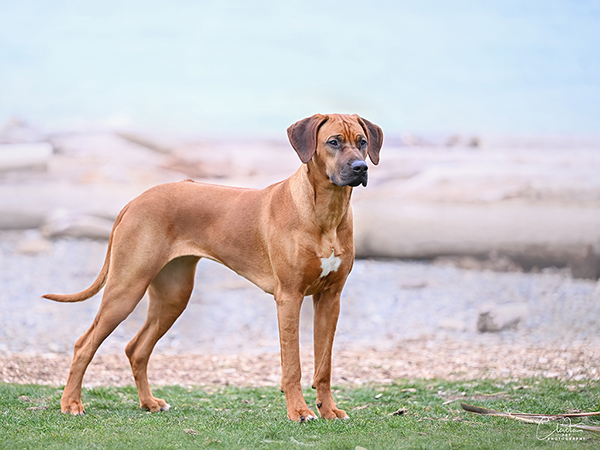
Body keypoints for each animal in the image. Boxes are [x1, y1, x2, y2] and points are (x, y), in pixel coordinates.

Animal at [45, 112, 384, 422]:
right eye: (333, 142)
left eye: (362, 142)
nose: (361, 168)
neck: (326, 212)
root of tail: (135, 200)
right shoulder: (289, 297)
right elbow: (292, 365)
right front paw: (299, 411)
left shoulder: (330, 298)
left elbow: (324, 365)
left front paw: (328, 410)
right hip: (126, 288)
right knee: (84, 344)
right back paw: (71, 403)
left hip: (174, 295)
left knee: (136, 348)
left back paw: (149, 402)